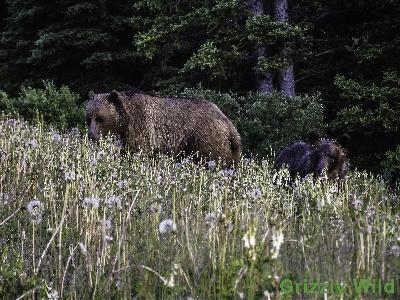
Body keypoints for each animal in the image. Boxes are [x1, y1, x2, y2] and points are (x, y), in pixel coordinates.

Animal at [85, 90, 241, 168]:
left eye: (100, 118)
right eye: (88, 118)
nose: (91, 135)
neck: (125, 120)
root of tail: (227, 122)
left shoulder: (141, 127)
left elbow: (138, 151)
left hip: (206, 137)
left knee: (215, 159)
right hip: (231, 147)